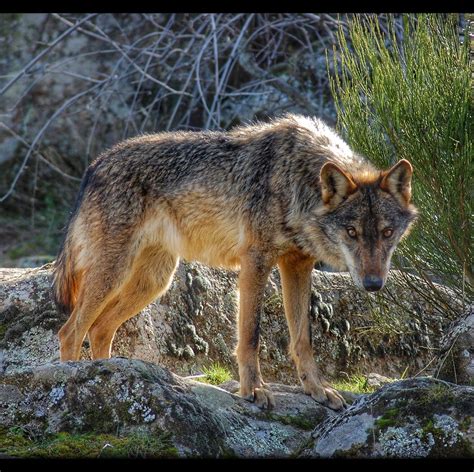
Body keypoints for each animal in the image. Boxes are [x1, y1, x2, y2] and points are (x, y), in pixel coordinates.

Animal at [51, 113, 416, 410]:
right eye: (352, 232)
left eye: (386, 232)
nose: (373, 284)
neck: (297, 180)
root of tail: (95, 164)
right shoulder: (255, 262)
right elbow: (250, 335)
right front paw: (253, 390)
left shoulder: (298, 264)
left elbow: (302, 338)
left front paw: (316, 390)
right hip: (115, 273)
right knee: (71, 331)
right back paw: (72, 384)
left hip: (153, 282)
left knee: (99, 329)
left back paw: (113, 376)